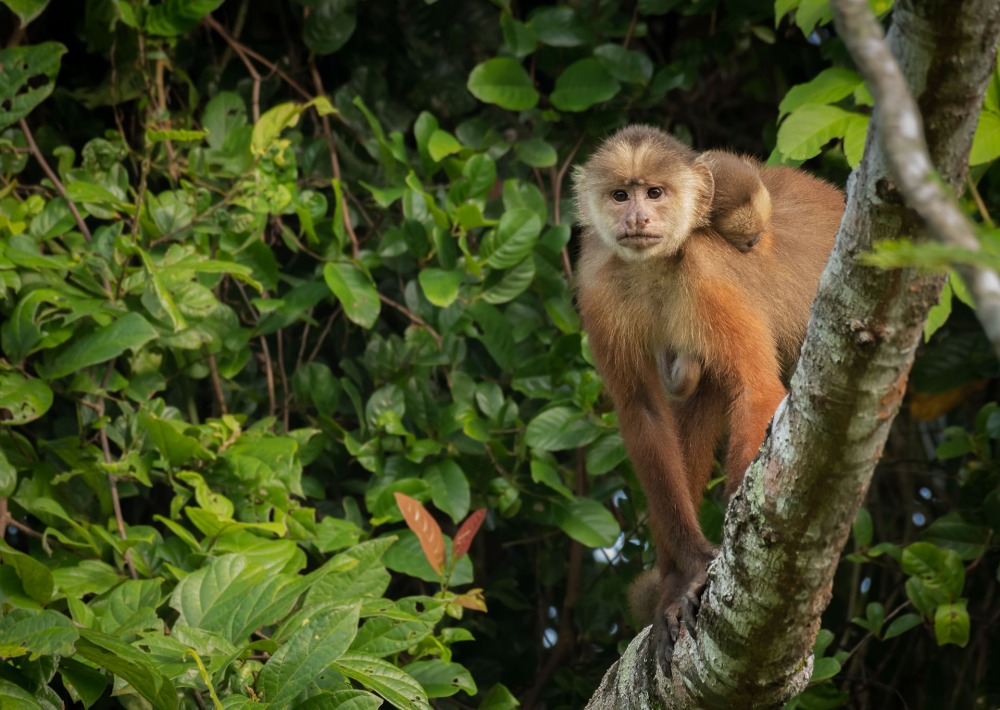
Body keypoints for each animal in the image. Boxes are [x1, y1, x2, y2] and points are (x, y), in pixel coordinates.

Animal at [572, 125, 844, 672]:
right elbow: (644, 414)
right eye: (620, 194)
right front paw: (689, 569)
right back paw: (671, 585)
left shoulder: (707, 272)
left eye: (655, 193)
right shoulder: (597, 284)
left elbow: (756, 389)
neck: (655, 267)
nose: (637, 218)